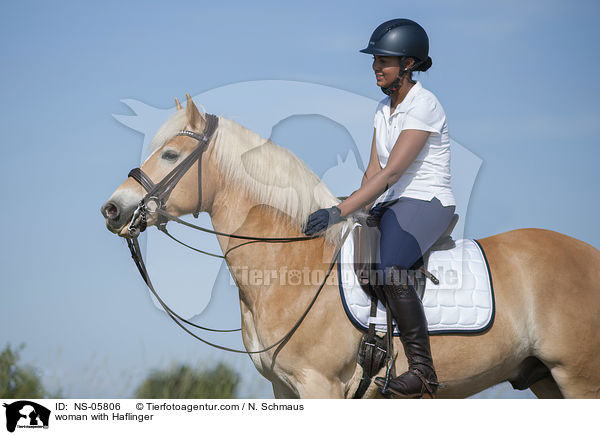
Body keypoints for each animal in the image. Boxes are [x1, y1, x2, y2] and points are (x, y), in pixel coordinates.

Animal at [101, 94, 600, 398]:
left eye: (170, 155)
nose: (113, 209)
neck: (293, 261)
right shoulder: (284, 389)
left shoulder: (319, 385)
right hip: (544, 379)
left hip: (578, 378)